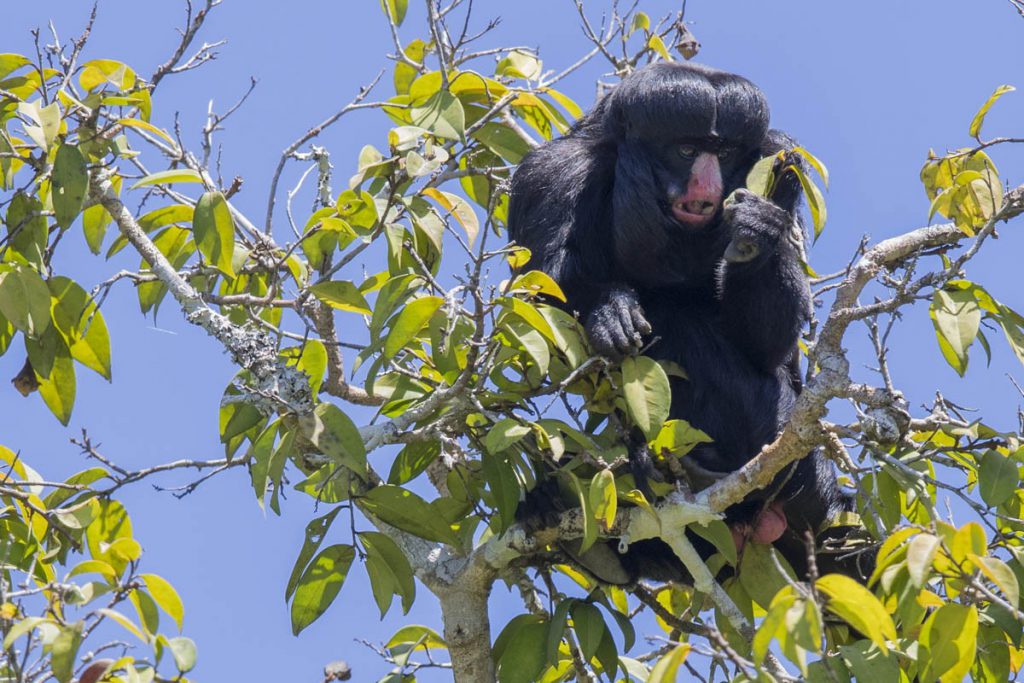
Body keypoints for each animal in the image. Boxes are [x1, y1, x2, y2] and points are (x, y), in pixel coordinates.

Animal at [507, 63, 868, 585]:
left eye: (725, 153)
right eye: (685, 150)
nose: (707, 191)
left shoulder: (781, 163)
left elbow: (768, 348)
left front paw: (757, 234)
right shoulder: (550, 174)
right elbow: (540, 299)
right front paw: (608, 310)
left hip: (786, 442)